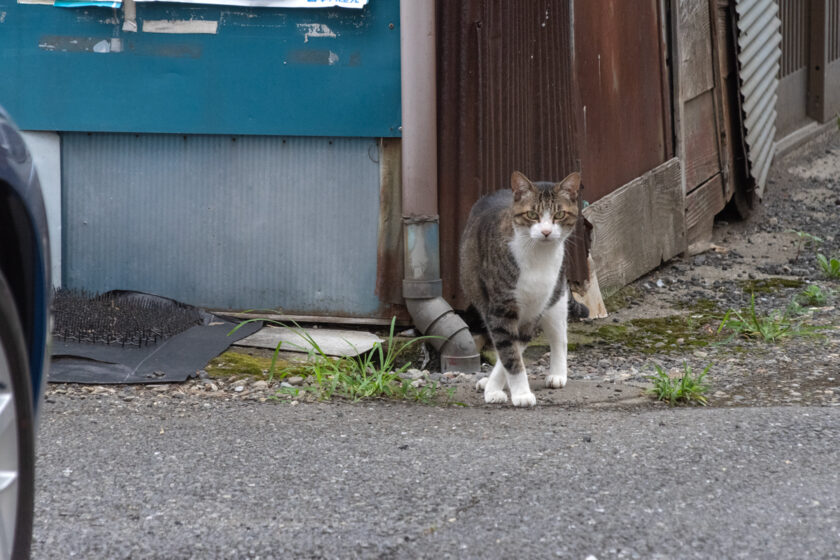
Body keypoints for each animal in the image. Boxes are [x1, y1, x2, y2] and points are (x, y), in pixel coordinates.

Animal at [460, 171, 584, 406]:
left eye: (559, 214)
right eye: (533, 214)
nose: (546, 231)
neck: (538, 258)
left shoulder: (535, 309)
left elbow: (514, 349)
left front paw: (502, 389)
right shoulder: (501, 308)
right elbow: (509, 353)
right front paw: (513, 391)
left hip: (556, 296)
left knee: (559, 336)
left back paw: (557, 374)